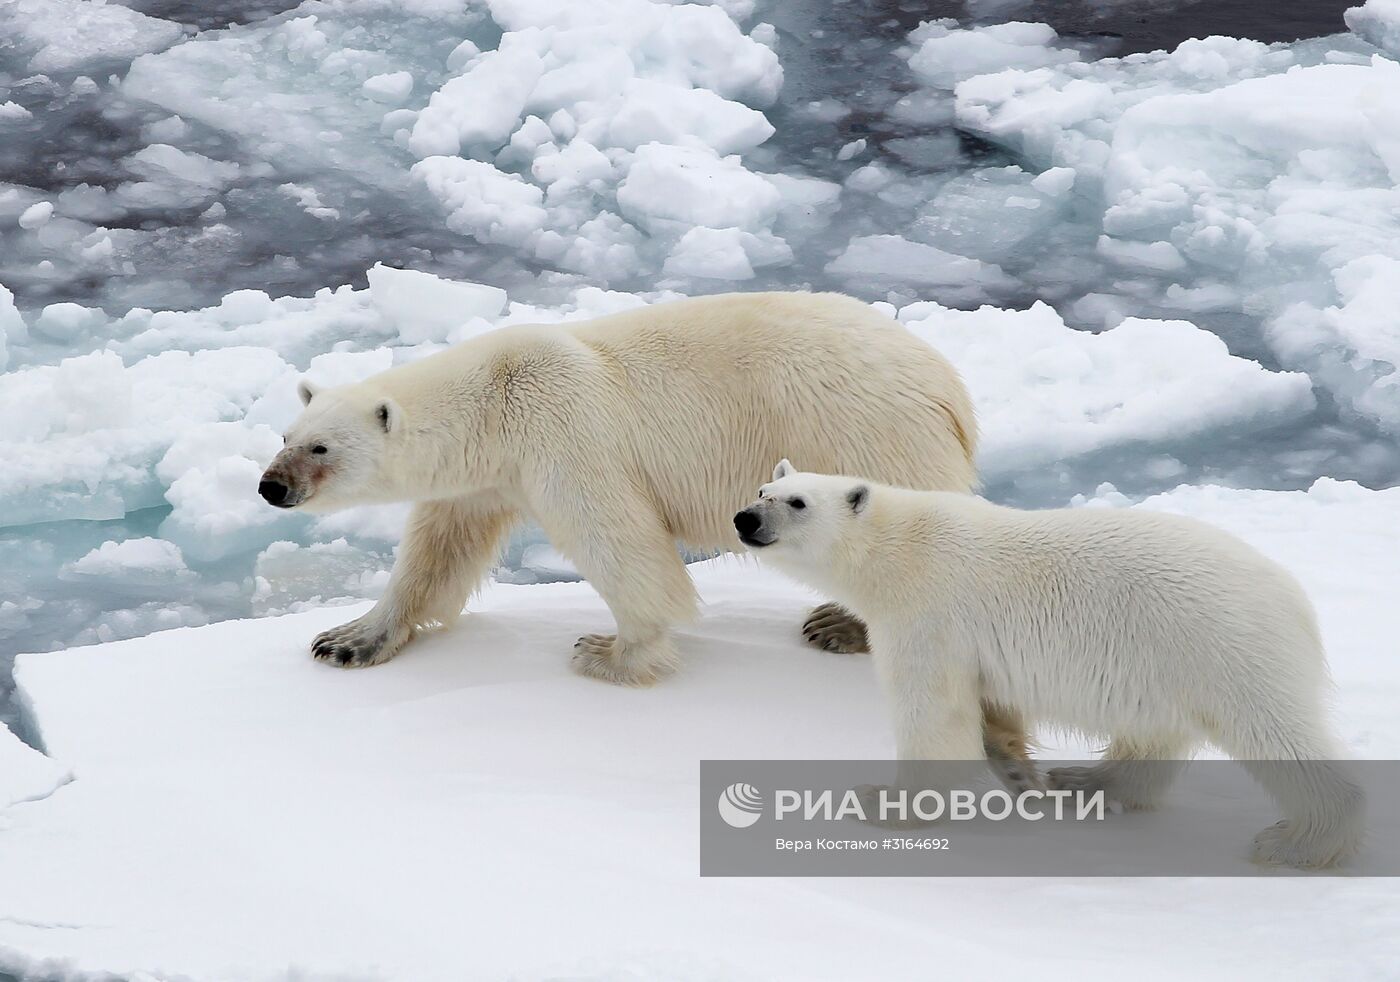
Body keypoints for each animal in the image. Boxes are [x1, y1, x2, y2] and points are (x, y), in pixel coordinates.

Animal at [260, 295, 985, 680]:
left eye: (321, 448)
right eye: (285, 434)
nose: (271, 486)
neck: (493, 397)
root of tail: (950, 387)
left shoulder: (563, 427)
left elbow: (617, 539)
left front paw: (609, 652)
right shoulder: (484, 476)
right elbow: (437, 552)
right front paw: (347, 640)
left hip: (865, 435)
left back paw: (839, 625)